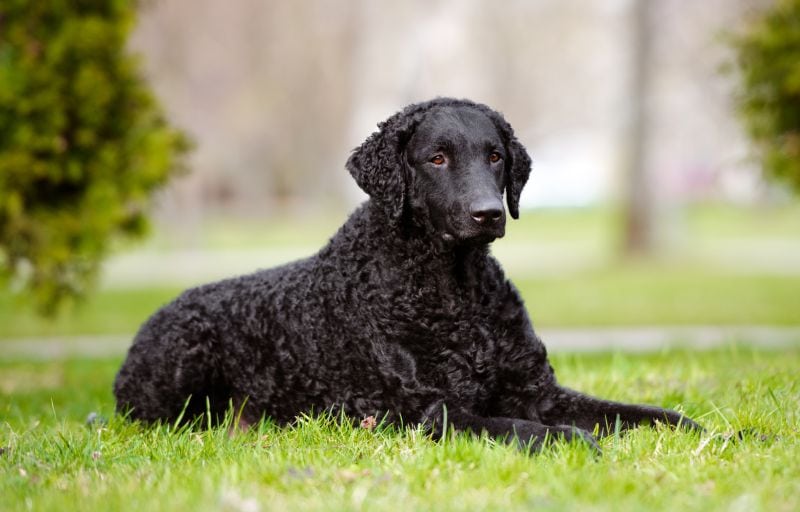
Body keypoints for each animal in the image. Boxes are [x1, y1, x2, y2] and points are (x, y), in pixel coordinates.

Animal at [114, 97, 700, 448]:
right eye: (437, 158)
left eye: (495, 156)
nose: (488, 213)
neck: (455, 291)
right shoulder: (429, 411)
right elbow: (520, 426)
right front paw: (574, 441)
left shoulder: (542, 392)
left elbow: (644, 413)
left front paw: (710, 432)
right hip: (185, 357)